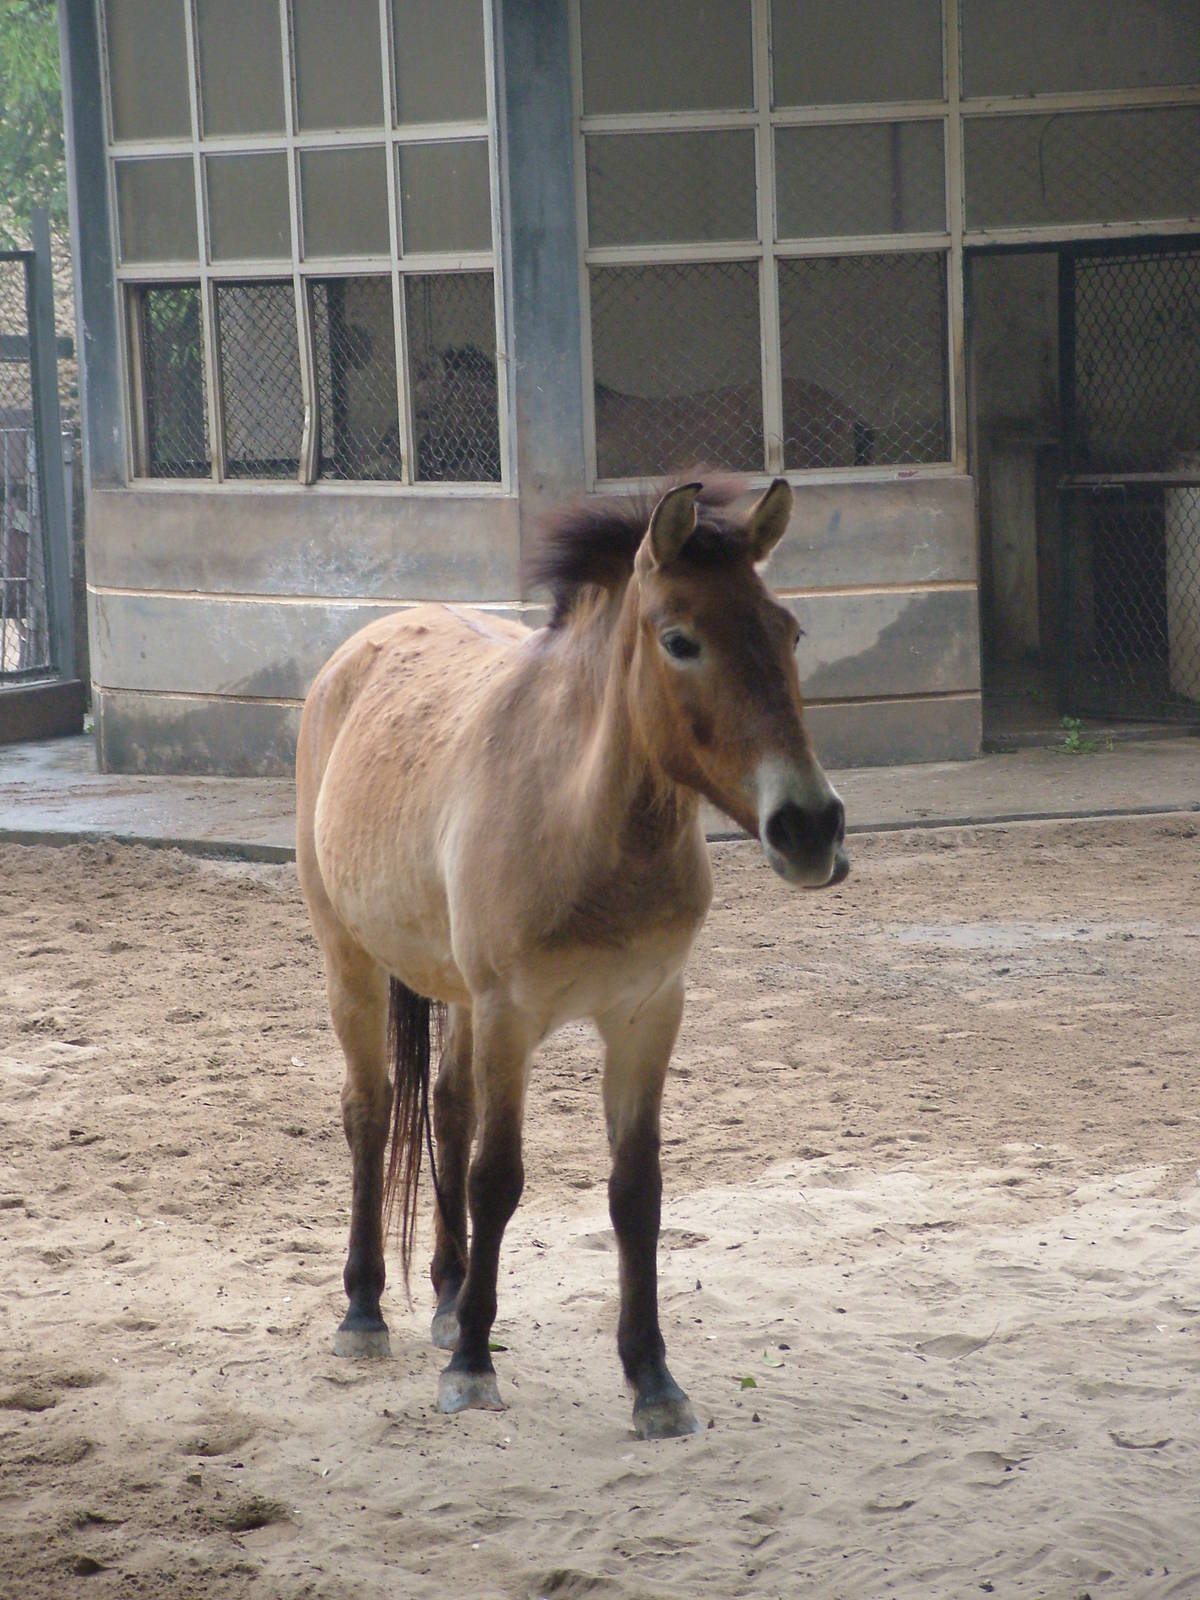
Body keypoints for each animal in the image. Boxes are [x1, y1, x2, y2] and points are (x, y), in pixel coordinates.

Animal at [295, 475, 849, 1439]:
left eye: (788, 632)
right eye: (680, 640)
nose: (810, 828)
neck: (581, 816)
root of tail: (353, 657)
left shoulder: (647, 1015)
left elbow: (636, 1191)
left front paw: (653, 1378)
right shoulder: (511, 1015)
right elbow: (498, 1177)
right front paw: (474, 1367)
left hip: (459, 997)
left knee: (444, 1111)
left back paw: (449, 1299)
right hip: (353, 965)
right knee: (372, 1113)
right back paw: (365, 1311)